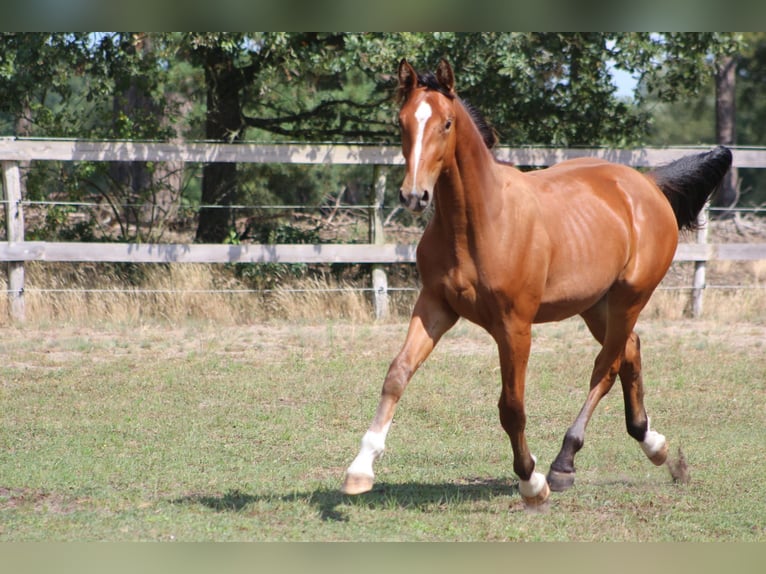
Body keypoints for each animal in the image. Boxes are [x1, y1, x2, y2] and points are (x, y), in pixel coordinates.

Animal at [340, 58, 732, 508]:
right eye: (402, 121)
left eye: (446, 123)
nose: (414, 196)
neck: (478, 222)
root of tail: (647, 186)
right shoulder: (435, 306)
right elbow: (397, 374)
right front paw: (360, 469)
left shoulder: (515, 326)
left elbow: (512, 406)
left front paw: (532, 481)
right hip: (596, 304)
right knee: (630, 351)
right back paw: (656, 447)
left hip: (630, 297)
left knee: (606, 368)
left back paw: (565, 463)